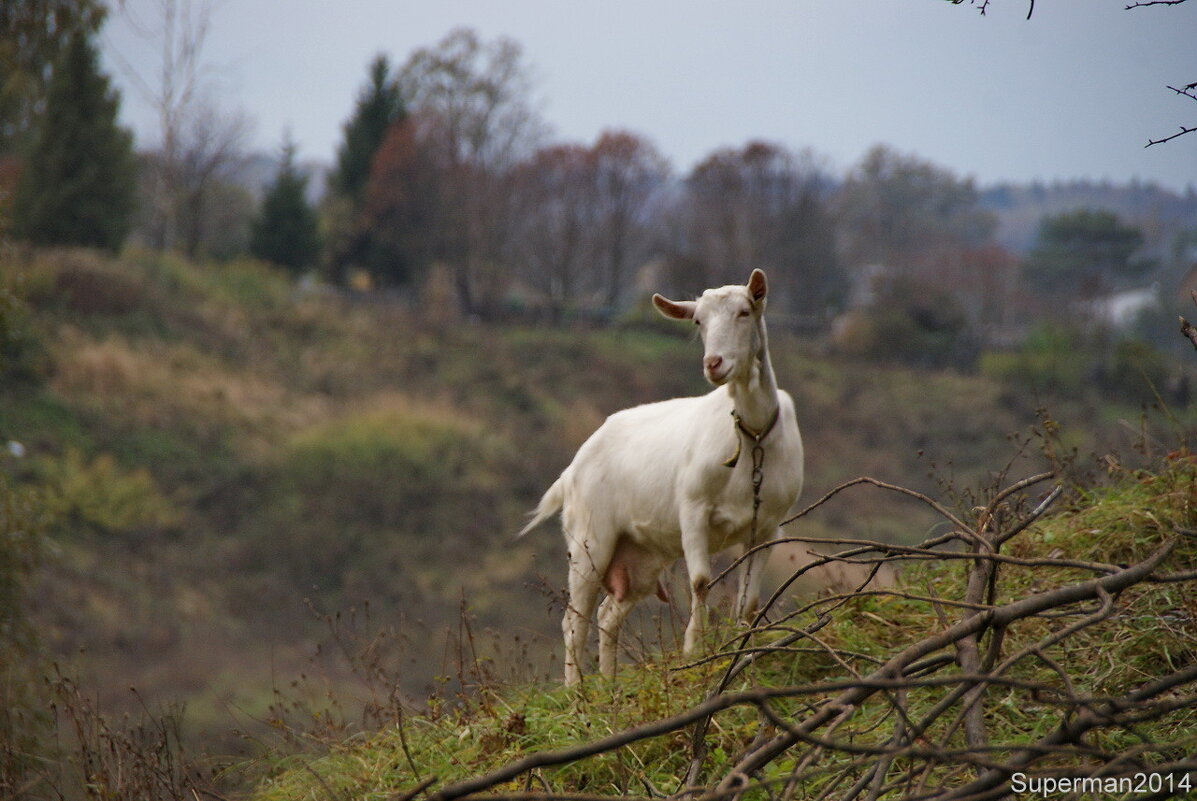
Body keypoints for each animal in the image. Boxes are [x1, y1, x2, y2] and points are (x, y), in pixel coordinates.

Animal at [521, 271, 804, 684]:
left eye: (744, 311)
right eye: (698, 321)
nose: (714, 363)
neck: (751, 434)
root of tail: (572, 468)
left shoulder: (768, 527)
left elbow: (750, 599)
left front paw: (744, 648)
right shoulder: (693, 510)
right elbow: (700, 582)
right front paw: (693, 650)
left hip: (641, 557)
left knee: (609, 613)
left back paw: (609, 683)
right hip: (589, 539)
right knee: (574, 620)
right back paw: (576, 690)